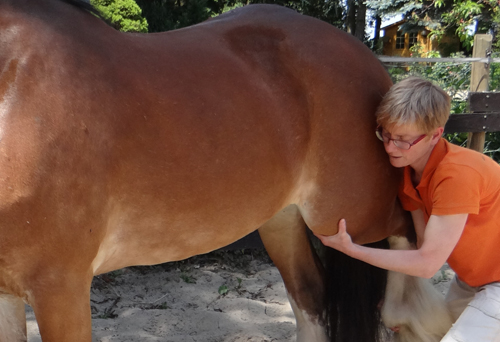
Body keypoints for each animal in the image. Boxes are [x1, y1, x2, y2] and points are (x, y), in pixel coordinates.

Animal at [0, 1, 410, 340]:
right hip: (282, 221)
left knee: (405, 231)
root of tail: (365, 55)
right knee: (311, 298)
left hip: (348, 218)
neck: (16, 88)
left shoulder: (60, 288)